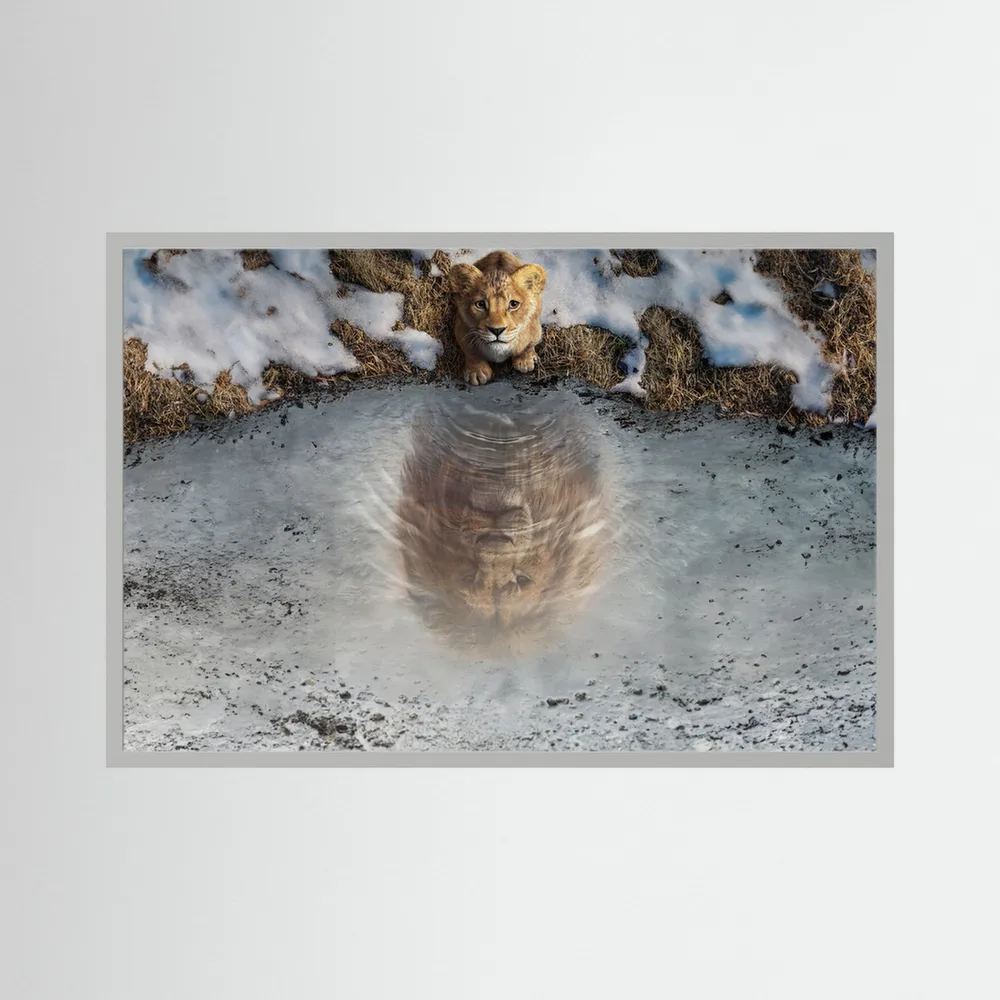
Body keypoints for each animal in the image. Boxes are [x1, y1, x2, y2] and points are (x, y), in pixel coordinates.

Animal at [447, 250, 547, 385]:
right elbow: (471, 351)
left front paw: (525, 360)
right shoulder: (461, 329)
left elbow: (529, 345)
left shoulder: (535, 328)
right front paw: (476, 372)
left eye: (513, 304)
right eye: (480, 304)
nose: (497, 330)